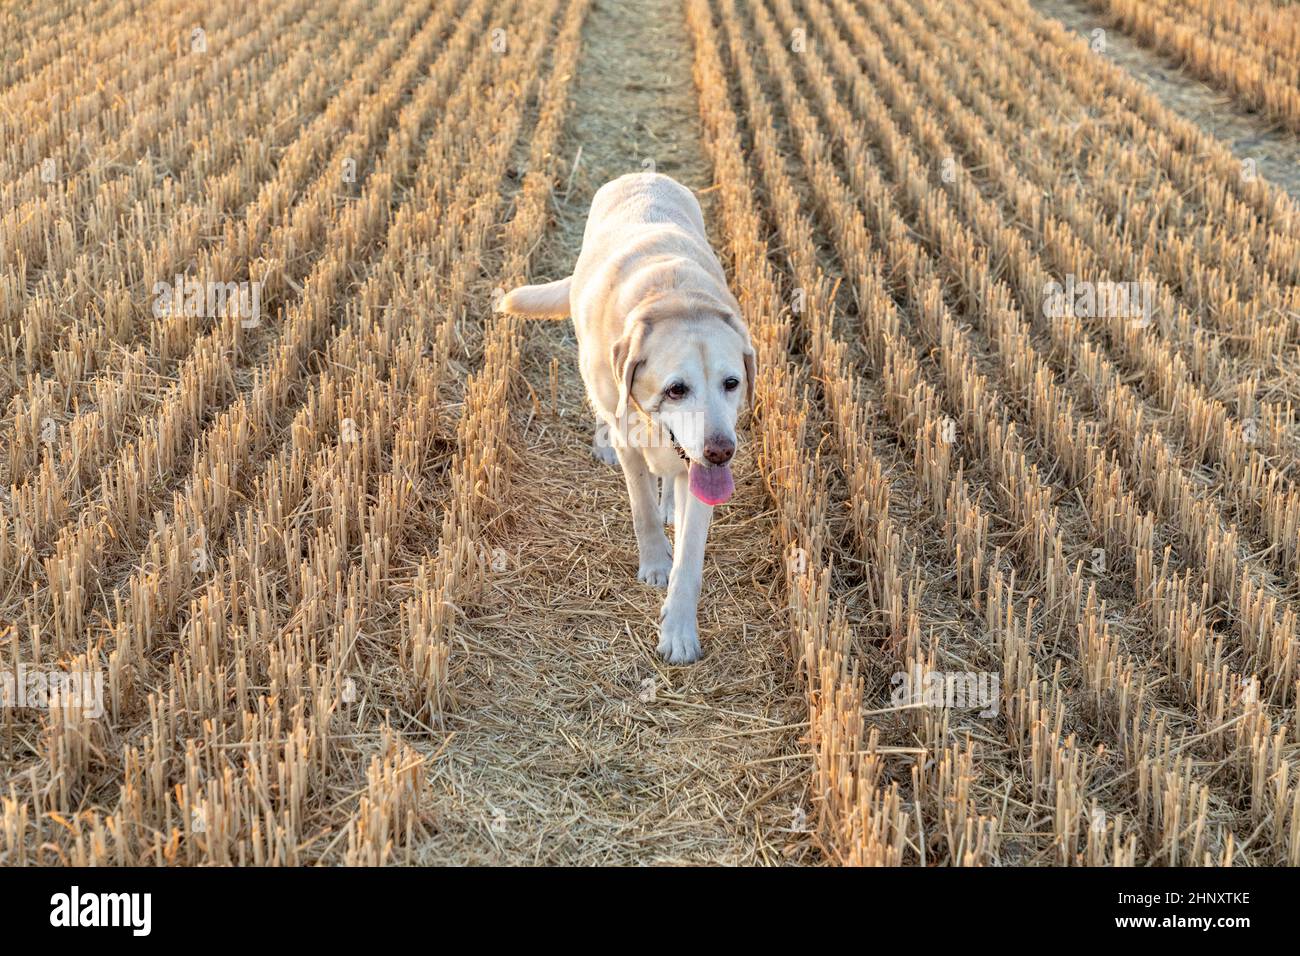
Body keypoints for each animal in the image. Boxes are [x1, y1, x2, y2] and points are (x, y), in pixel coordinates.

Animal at [499, 171, 759, 660]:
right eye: (676, 389)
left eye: (731, 383)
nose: (721, 452)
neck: (673, 298)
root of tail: (646, 172)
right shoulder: (631, 441)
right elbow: (642, 507)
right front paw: (656, 562)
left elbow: (690, 557)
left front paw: (679, 631)